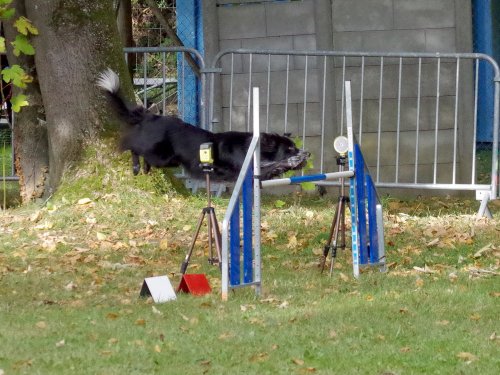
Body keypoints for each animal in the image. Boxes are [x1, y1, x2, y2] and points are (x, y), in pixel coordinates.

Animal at [97, 70, 308, 184]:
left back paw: (145, 168)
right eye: (289, 149)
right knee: (132, 145)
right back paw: (135, 166)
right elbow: (271, 166)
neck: (253, 148)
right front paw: (287, 163)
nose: (307, 153)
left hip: (169, 160)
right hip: (160, 154)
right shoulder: (242, 169)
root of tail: (150, 116)